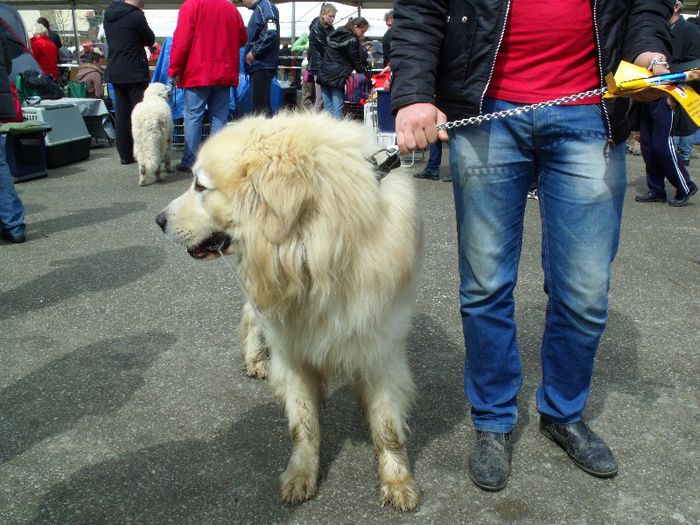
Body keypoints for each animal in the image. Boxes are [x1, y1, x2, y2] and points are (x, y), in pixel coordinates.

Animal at [157, 112, 424, 510]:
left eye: (201, 187)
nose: (158, 220)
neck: (312, 253)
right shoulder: (290, 346)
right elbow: (304, 423)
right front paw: (301, 474)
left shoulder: (380, 349)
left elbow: (388, 425)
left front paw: (396, 480)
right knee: (251, 319)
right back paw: (254, 359)